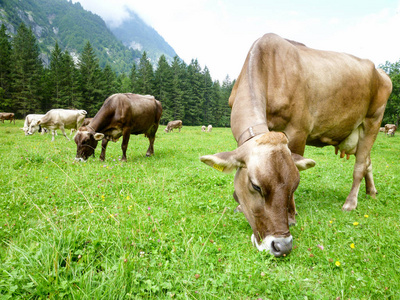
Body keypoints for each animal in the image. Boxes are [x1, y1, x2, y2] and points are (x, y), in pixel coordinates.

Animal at [200, 33, 390, 258]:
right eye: (255, 186)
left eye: (295, 185)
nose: (282, 245)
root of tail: (381, 72)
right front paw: (239, 205)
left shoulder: (298, 130)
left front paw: (291, 214)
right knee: (368, 161)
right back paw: (371, 192)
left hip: (373, 121)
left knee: (360, 166)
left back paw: (350, 203)